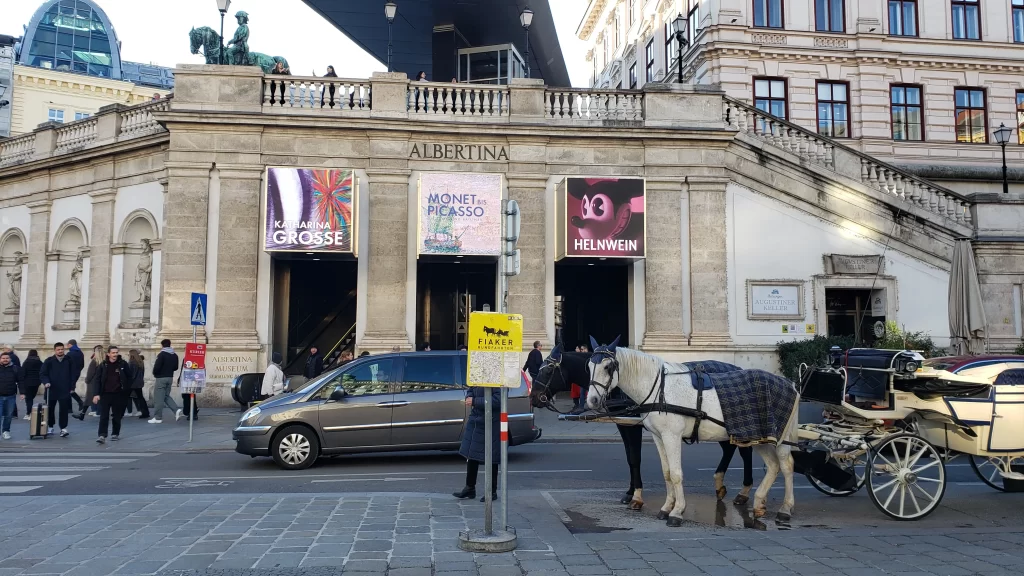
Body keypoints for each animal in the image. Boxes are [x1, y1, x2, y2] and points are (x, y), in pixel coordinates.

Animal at [585, 336, 798, 524]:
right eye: (588, 366)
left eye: (608, 367)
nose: (592, 400)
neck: (659, 389)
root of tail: (789, 383)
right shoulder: (658, 436)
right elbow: (666, 472)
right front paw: (666, 507)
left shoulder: (671, 436)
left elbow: (675, 473)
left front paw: (677, 511)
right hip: (758, 435)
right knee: (772, 465)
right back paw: (758, 502)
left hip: (779, 436)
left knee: (786, 465)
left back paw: (784, 508)